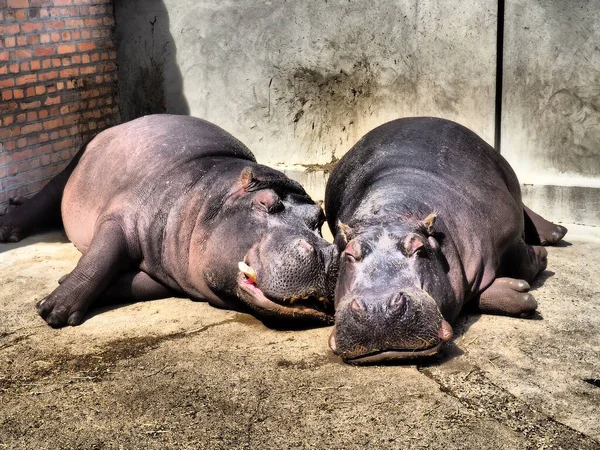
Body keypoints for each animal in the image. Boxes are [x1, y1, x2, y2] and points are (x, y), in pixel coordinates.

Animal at [0, 114, 338, 328]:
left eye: (319, 216)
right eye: (265, 203)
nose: (326, 254)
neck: (208, 195)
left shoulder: (173, 272)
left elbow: (137, 284)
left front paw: (63, 284)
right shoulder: (123, 217)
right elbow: (99, 258)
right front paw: (52, 311)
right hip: (72, 169)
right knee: (44, 196)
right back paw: (8, 229)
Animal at [328, 118, 568, 364]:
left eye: (419, 248)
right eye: (349, 253)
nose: (378, 307)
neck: (392, 212)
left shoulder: (508, 232)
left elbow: (524, 263)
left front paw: (542, 256)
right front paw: (519, 291)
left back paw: (556, 232)